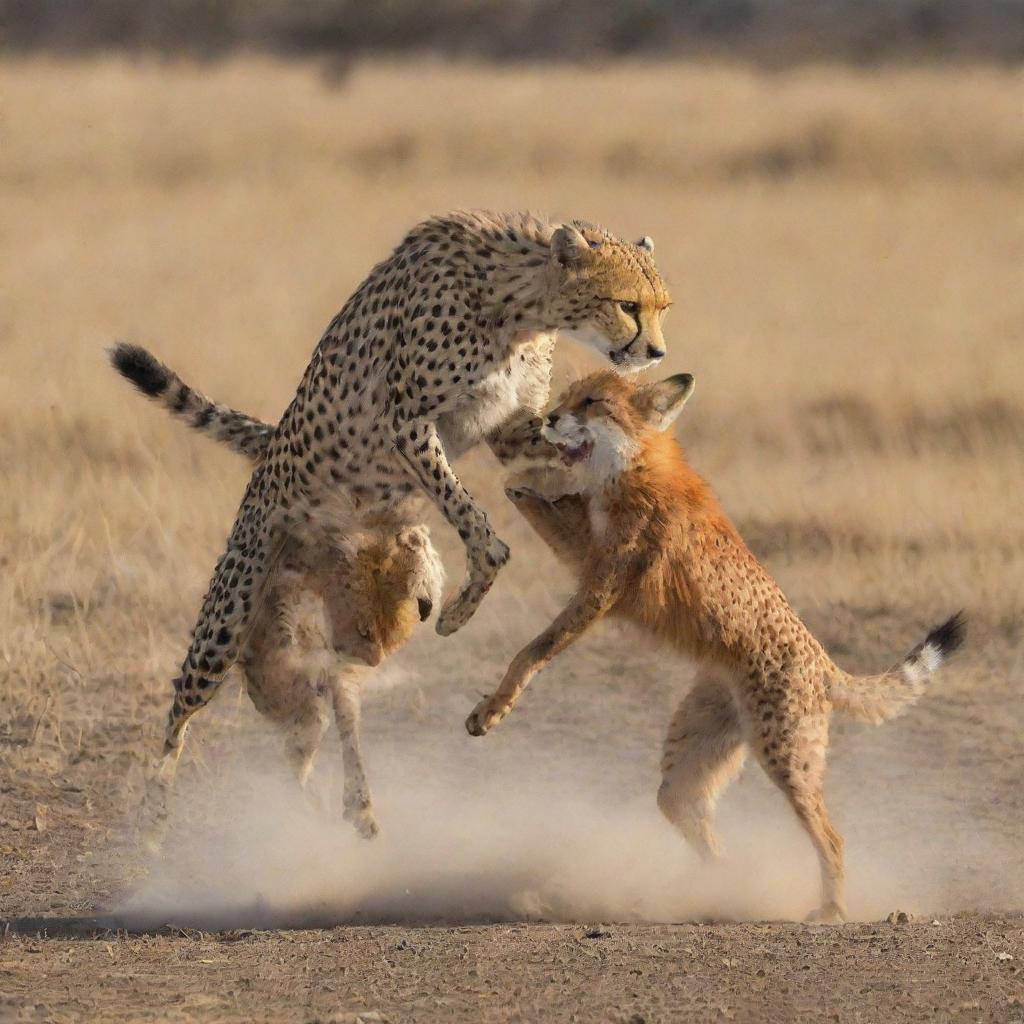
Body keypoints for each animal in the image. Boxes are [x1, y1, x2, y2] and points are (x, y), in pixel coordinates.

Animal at [111, 346, 440, 839]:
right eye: (363, 632)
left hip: (297, 700)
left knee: (301, 751)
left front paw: (354, 808)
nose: (371, 656)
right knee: (181, 719)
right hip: (221, 649)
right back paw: (155, 810)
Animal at [116, 209, 671, 770]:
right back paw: (161, 786)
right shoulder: (406, 422)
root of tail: (271, 453)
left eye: (662, 307)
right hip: (228, 616)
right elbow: (476, 523)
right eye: (628, 305)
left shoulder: (511, 431)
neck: (522, 303)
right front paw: (461, 608)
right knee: (182, 706)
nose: (656, 351)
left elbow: (563, 447)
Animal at [468, 372, 962, 925]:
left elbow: (533, 651)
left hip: (786, 757)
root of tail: (823, 661)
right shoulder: (583, 554)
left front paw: (493, 710)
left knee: (832, 838)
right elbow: (535, 502)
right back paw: (717, 890)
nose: (547, 418)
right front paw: (515, 471)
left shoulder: (600, 590)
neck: (631, 469)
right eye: (568, 395)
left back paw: (830, 909)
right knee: (693, 819)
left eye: (592, 403)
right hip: (690, 765)